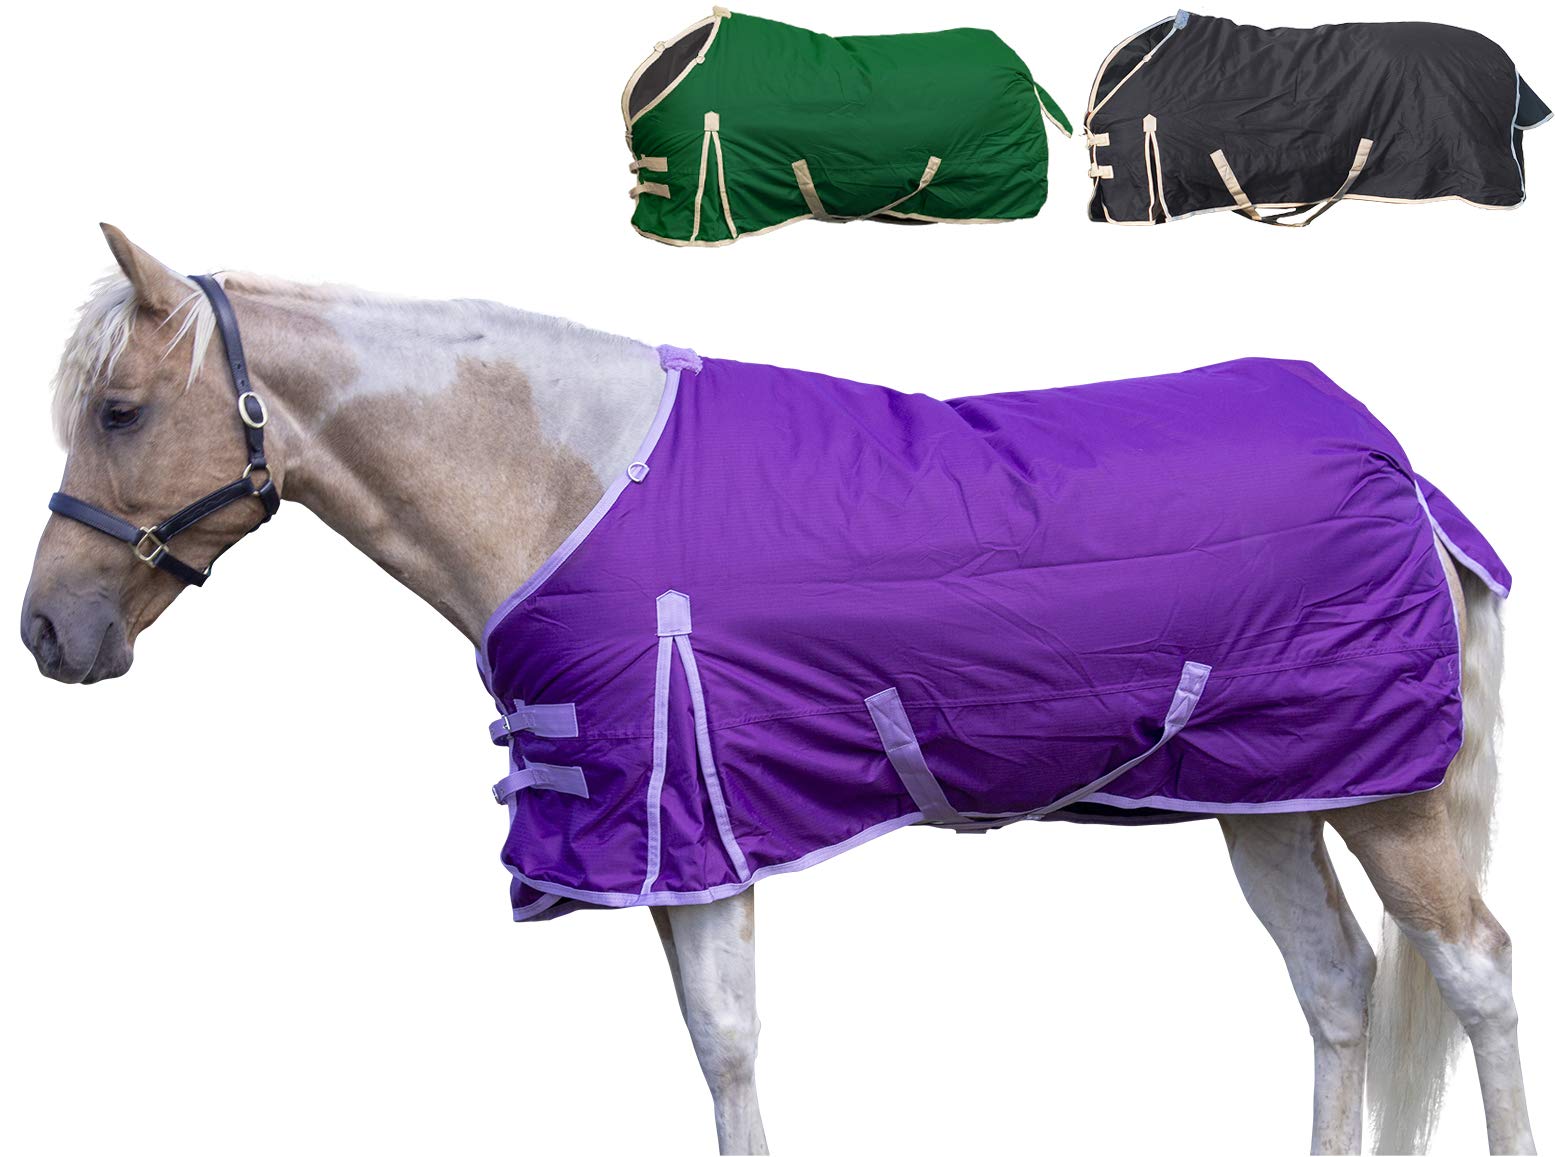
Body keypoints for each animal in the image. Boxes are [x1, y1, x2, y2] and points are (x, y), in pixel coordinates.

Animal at [20, 226, 1536, 1156]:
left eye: (119, 411)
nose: (47, 630)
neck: (563, 480)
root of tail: (1398, 467)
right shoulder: (661, 844)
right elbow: (712, 1048)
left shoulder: (690, 825)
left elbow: (728, 1048)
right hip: (1270, 793)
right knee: (1334, 986)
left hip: (1391, 801)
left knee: (1474, 971)